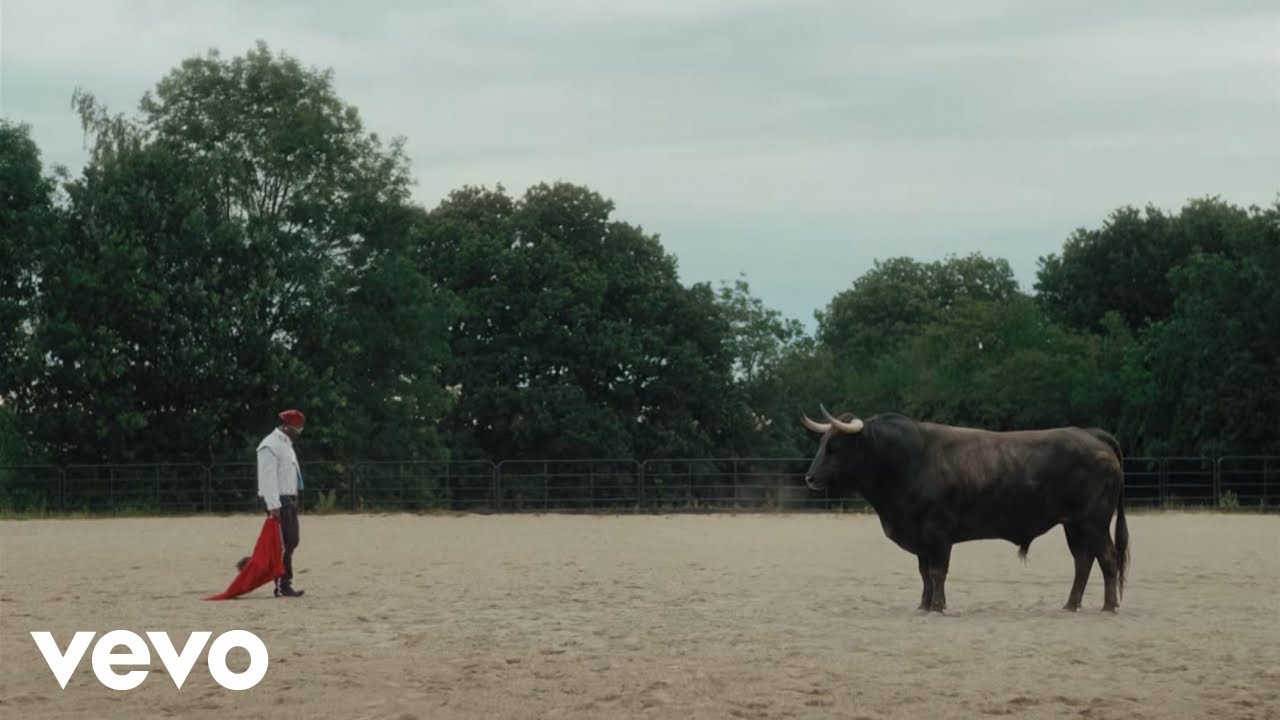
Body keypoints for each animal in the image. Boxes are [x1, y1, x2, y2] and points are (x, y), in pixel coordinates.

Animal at [801, 406, 1129, 613]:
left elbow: (937, 572)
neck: (906, 460)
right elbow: (924, 573)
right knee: (1083, 562)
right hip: (1073, 524)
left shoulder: (937, 533)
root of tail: (1092, 435)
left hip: (1095, 522)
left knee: (1108, 559)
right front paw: (923, 605)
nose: (810, 478)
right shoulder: (920, 537)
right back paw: (1071, 605)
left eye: (835, 446)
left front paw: (937, 607)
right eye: (822, 442)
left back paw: (1109, 606)